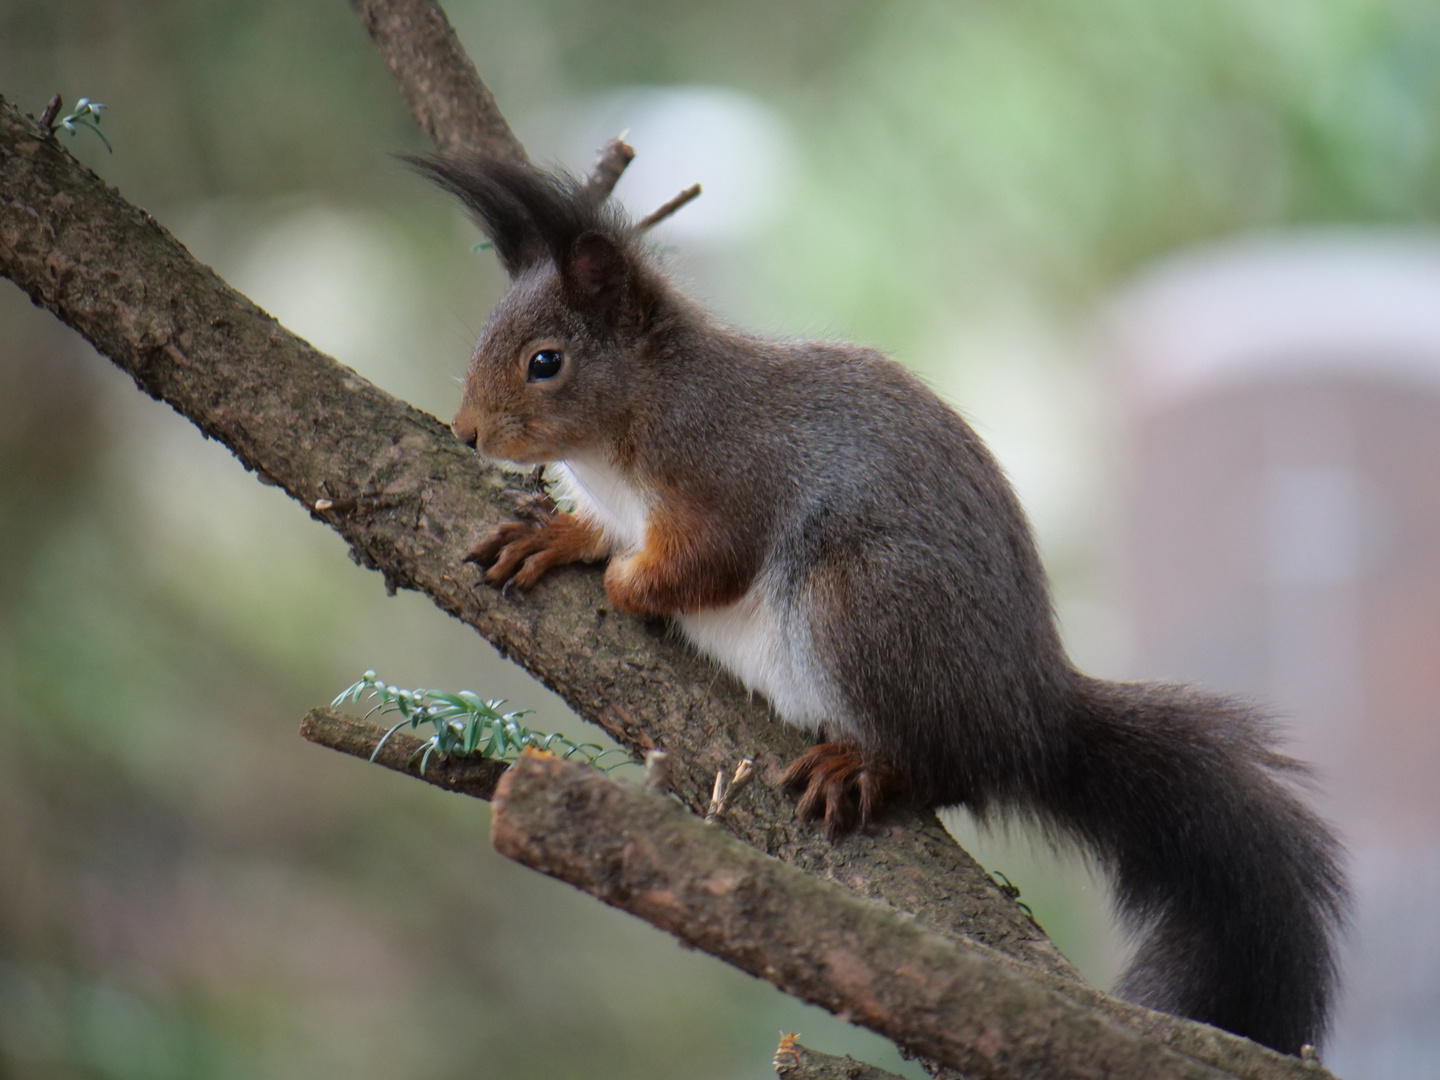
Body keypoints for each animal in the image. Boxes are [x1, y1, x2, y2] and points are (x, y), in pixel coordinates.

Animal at [414, 154, 1347, 1059]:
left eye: (545, 362)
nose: (466, 432)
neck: (636, 419)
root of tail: (1036, 716)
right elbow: (596, 533)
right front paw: (552, 538)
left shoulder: (728, 477)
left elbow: (707, 565)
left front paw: (626, 585)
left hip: (859, 600)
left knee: (951, 767)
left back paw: (864, 765)